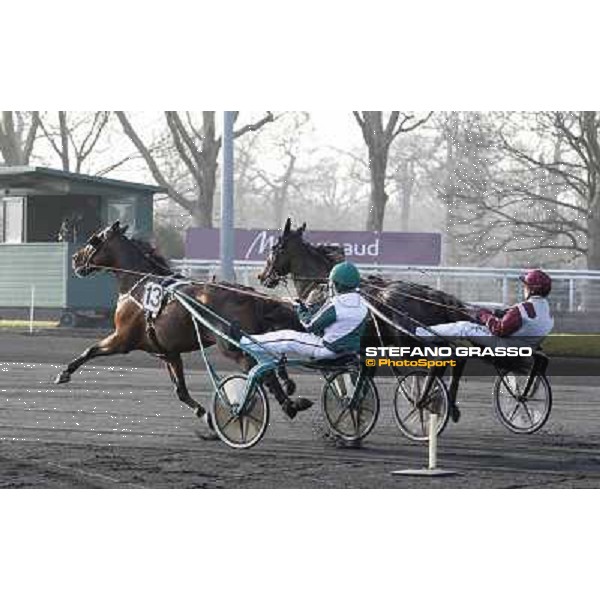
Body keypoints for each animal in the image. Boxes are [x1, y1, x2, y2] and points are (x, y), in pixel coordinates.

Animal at [55, 220, 310, 432]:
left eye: (94, 240)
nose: (75, 259)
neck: (138, 285)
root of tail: (249, 295)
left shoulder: (122, 339)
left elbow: (90, 350)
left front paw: (64, 373)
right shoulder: (168, 352)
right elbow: (181, 391)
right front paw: (205, 415)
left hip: (232, 347)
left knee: (261, 370)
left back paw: (286, 405)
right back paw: (288, 393)